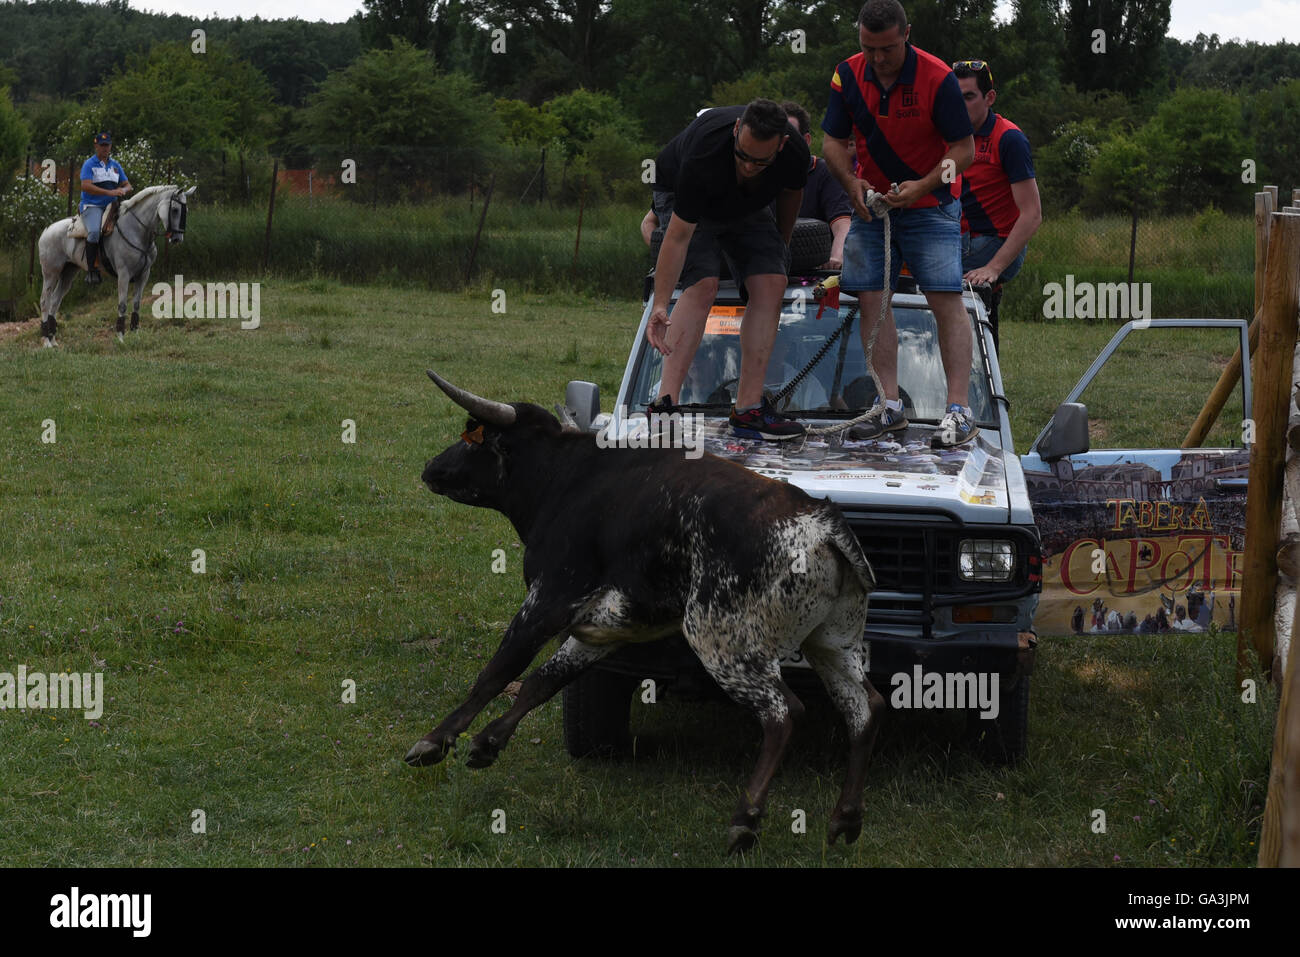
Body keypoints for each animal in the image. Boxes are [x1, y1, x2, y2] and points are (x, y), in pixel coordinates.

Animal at [36, 184, 193, 348]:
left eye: (186, 210)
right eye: (175, 210)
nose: (177, 238)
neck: (136, 230)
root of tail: (47, 231)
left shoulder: (144, 275)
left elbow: (136, 304)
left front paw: (136, 335)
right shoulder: (124, 274)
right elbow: (122, 305)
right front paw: (121, 338)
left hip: (68, 273)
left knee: (55, 301)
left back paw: (53, 340)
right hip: (51, 273)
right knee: (45, 301)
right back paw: (46, 341)